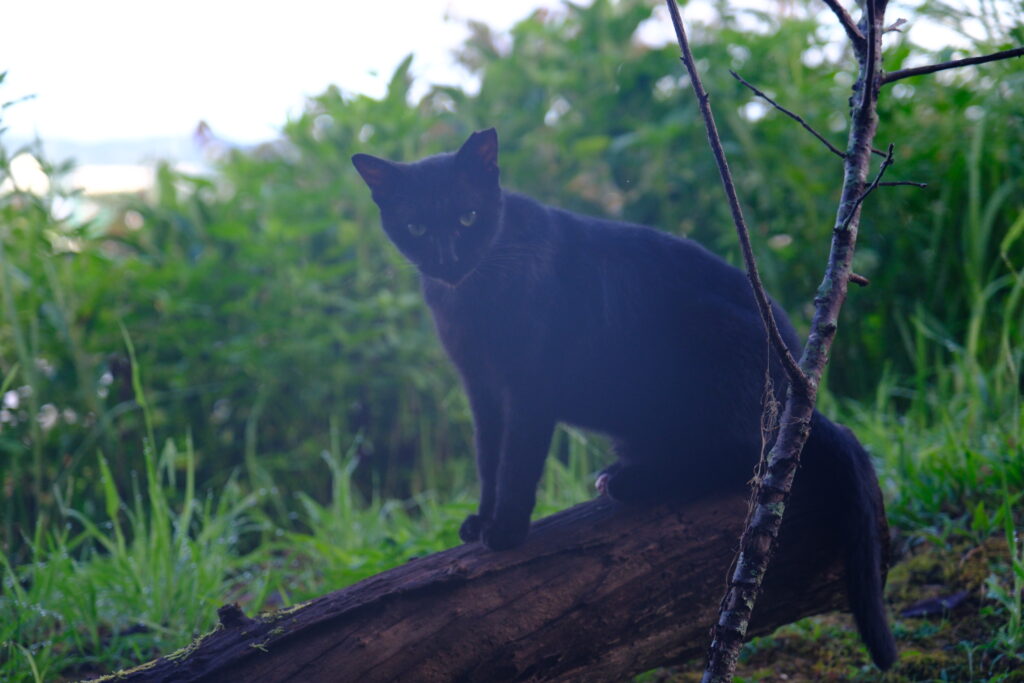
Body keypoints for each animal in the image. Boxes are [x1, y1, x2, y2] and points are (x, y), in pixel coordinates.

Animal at [352, 126, 897, 667]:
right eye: (416, 227)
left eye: (467, 217)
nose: (447, 260)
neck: (469, 294)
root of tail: (802, 394)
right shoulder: (481, 387)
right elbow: (489, 460)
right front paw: (482, 520)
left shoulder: (529, 385)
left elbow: (517, 462)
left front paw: (506, 531)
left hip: (706, 344)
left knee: (748, 463)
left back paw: (631, 482)